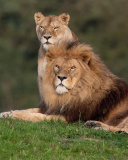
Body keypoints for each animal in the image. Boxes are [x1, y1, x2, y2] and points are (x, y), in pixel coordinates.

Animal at [0, 41, 128, 134]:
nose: (61, 77)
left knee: (123, 131)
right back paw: (93, 124)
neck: (66, 96)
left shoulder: (67, 118)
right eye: (57, 66)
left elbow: (38, 117)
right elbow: (30, 110)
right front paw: (6, 113)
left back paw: (97, 127)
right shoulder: (54, 107)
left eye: (72, 68)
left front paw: (15, 115)